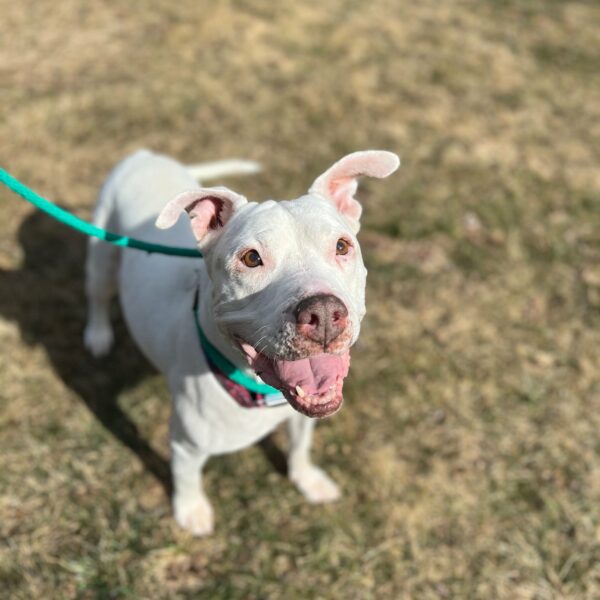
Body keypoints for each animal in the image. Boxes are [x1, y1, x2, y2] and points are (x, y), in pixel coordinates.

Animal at [83, 149, 398, 536]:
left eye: (342, 246)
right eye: (251, 258)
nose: (323, 313)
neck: (255, 388)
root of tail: (146, 154)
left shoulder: (303, 416)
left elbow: (299, 447)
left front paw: (306, 479)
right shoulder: (185, 445)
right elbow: (186, 478)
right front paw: (191, 511)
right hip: (101, 254)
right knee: (97, 295)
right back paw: (98, 335)